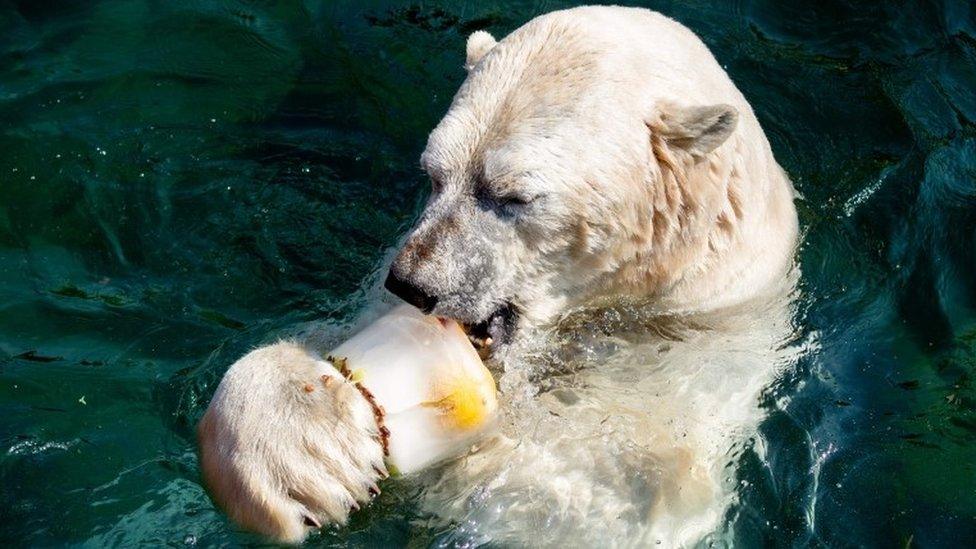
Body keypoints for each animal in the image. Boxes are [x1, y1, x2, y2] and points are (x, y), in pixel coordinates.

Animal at [200, 6, 800, 544]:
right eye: (434, 174)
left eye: (512, 195)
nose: (413, 285)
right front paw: (309, 445)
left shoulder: (689, 360)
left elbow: (596, 486)